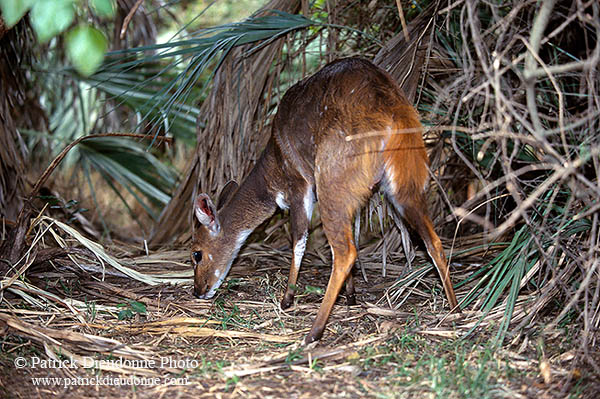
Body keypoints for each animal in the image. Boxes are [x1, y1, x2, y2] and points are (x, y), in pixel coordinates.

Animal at [192, 57, 460, 344]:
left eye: (196, 253)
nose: (198, 291)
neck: (273, 169)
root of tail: (393, 116)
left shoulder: (300, 186)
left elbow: (299, 240)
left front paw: (287, 299)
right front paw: (351, 296)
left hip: (332, 180)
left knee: (344, 252)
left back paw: (313, 332)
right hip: (404, 183)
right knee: (433, 240)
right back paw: (455, 309)